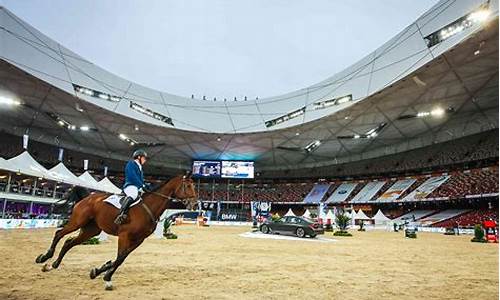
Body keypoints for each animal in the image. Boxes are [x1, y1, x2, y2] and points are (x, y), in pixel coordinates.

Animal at [34, 173, 197, 290]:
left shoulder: (138, 240)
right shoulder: (124, 235)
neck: (148, 207)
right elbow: (119, 258)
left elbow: (121, 258)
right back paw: (44, 257)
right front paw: (106, 277)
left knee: (69, 242)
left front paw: (100, 272)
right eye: (188, 185)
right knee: (59, 234)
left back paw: (52, 265)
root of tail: (88, 198)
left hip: (91, 231)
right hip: (77, 222)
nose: (195, 204)